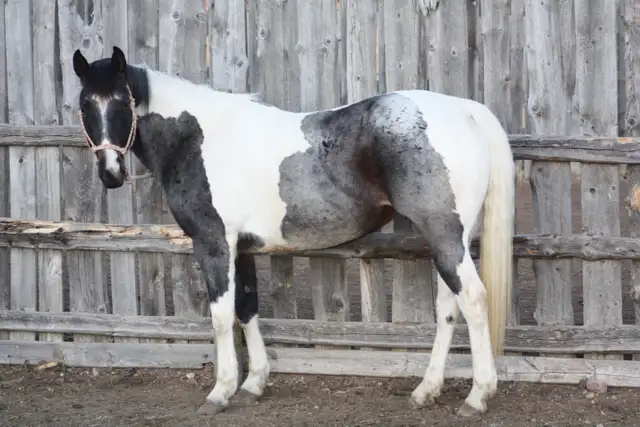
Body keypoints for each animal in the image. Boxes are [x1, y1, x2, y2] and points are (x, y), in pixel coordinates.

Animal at [72, 45, 515, 417]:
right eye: (85, 104)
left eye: (122, 101)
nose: (110, 173)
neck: (195, 137)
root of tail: (464, 109)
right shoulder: (241, 249)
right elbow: (246, 308)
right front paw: (253, 384)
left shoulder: (214, 244)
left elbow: (221, 316)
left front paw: (221, 391)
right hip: (450, 240)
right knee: (448, 307)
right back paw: (426, 390)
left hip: (443, 234)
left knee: (473, 300)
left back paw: (478, 396)